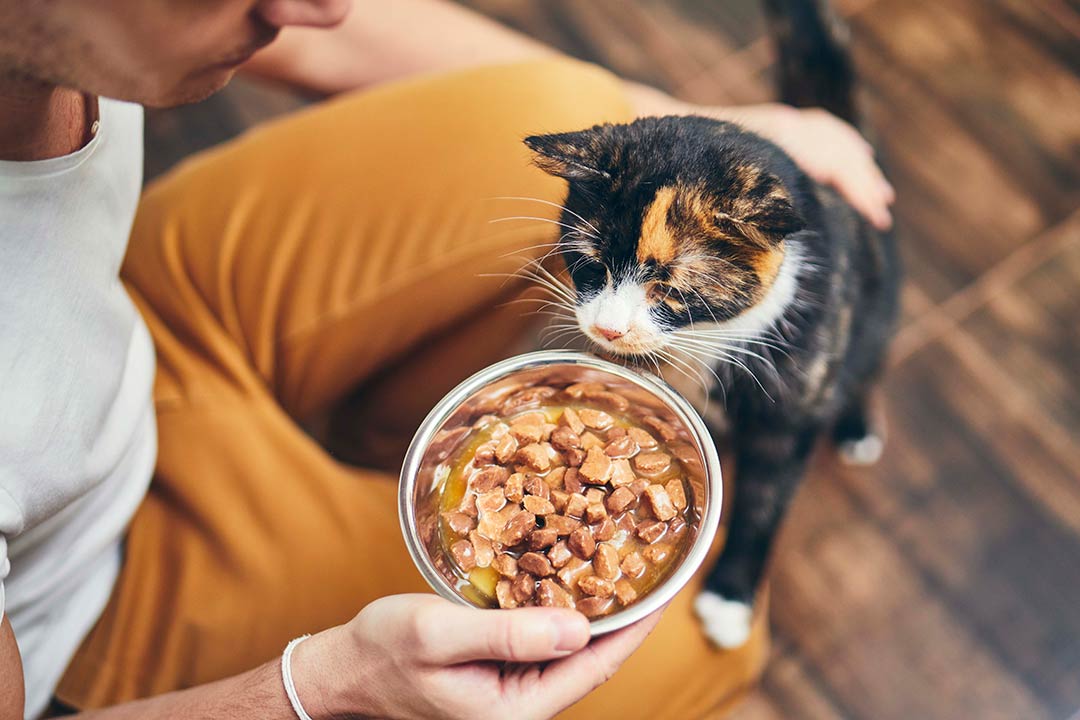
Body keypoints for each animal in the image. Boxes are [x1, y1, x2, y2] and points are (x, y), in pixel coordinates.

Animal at [522, 0, 902, 647]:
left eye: (672, 290)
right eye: (591, 265)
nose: (609, 330)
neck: (701, 343)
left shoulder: (789, 408)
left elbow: (763, 500)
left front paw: (730, 599)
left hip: (876, 310)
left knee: (869, 361)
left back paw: (855, 424)